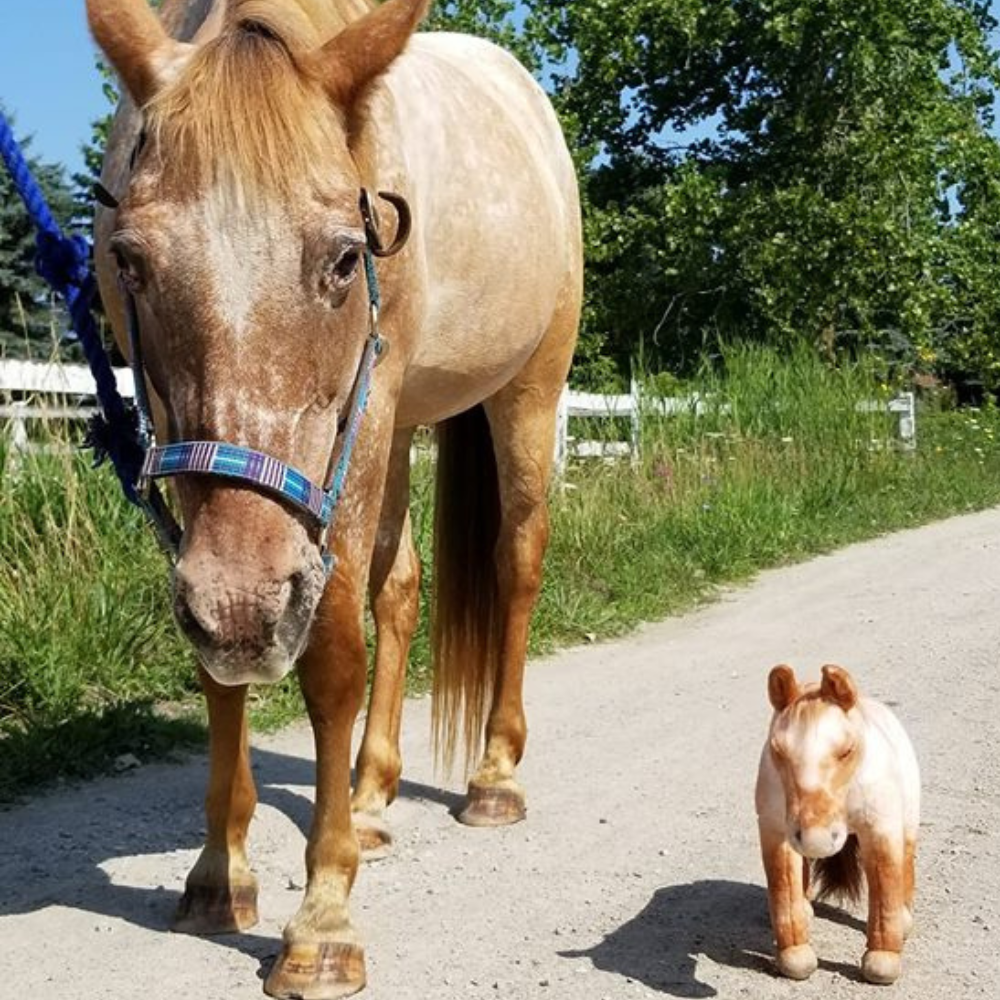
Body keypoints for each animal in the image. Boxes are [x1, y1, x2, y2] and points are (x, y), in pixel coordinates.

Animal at [87, 1, 584, 992]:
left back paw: (494, 778)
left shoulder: (364, 422)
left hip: (522, 394)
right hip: (391, 438)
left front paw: (321, 920)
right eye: (131, 259)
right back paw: (371, 795)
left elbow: (332, 664)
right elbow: (222, 671)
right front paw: (219, 875)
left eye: (348, 259)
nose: (247, 606)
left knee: (515, 564)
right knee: (399, 587)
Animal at [756, 664, 920, 984]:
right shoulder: (777, 832)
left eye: (846, 750)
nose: (817, 840)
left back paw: (905, 920)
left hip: (907, 823)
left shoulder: (880, 830)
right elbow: (784, 887)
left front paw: (882, 960)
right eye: (777, 750)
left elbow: (885, 887)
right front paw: (795, 956)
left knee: (905, 864)